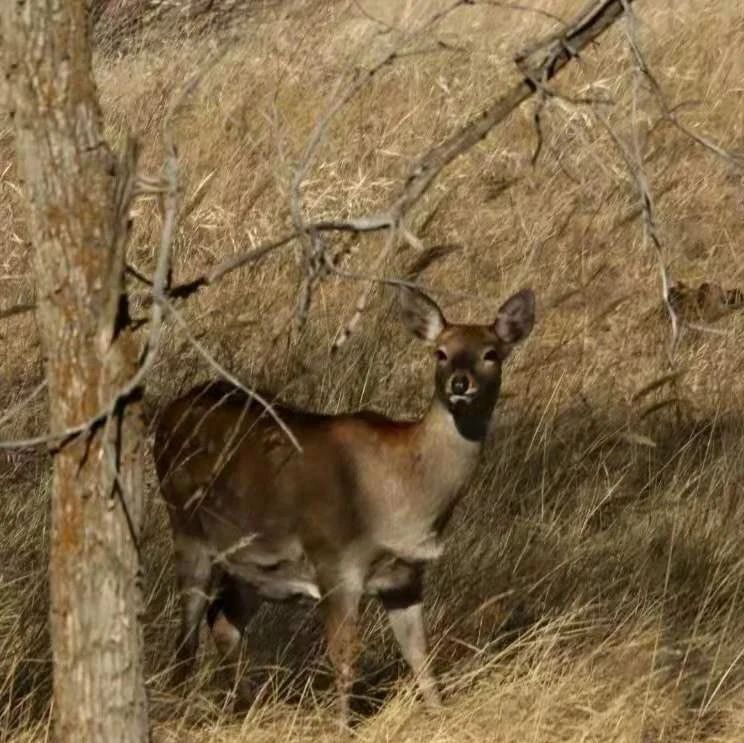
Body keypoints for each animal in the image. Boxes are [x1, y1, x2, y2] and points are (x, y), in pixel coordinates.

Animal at [154, 284, 536, 728]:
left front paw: (440, 716)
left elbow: (421, 656)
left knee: (222, 620)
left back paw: (244, 707)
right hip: (185, 525)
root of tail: (167, 412)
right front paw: (340, 726)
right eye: (440, 352)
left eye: (491, 353)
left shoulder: (406, 577)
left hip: (256, 566)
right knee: (187, 632)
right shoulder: (335, 561)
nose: (460, 382)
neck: (403, 497)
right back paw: (178, 705)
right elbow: (344, 658)